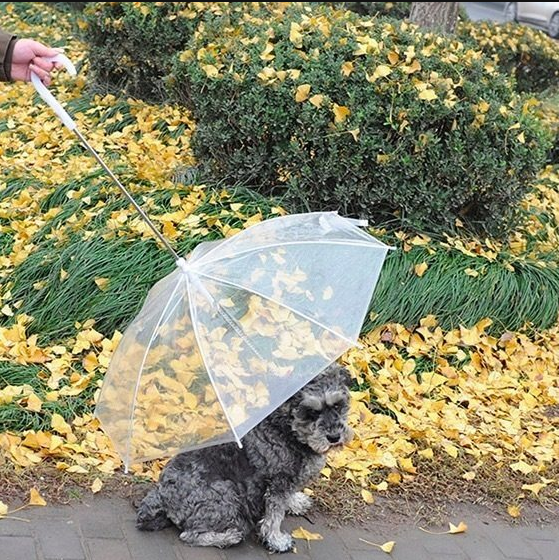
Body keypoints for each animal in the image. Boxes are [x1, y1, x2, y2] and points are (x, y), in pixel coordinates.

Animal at [136, 364, 352, 552]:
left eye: (338, 406)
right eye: (312, 412)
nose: (334, 437)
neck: (288, 430)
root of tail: (161, 494)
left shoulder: (288, 482)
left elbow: (288, 499)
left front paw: (296, 503)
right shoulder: (277, 485)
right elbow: (274, 517)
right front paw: (277, 540)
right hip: (228, 495)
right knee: (189, 535)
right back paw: (229, 536)